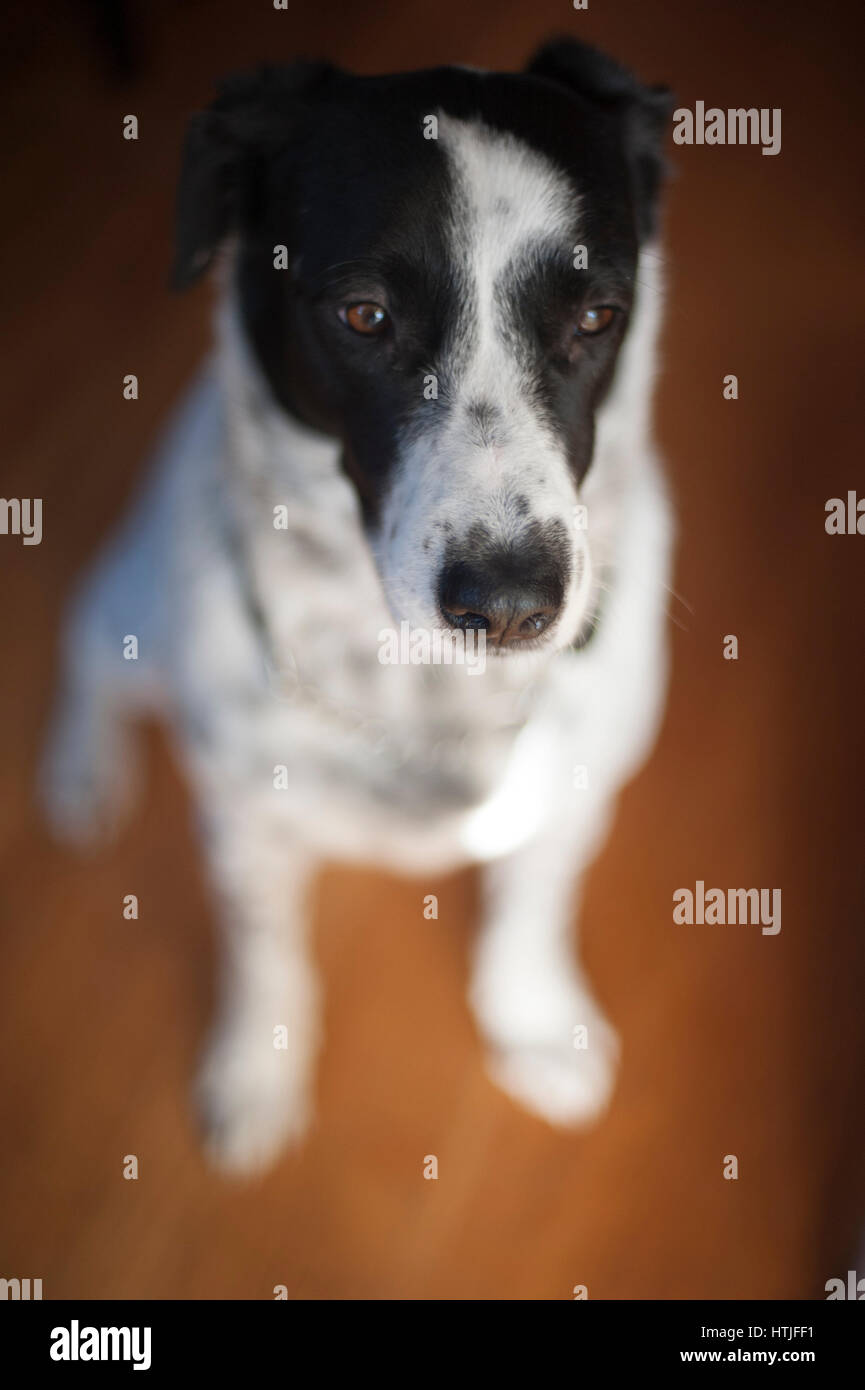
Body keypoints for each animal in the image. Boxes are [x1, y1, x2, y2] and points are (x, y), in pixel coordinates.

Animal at [40, 35, 678, 1173]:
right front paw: (257, 1066)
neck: (419, 698)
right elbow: (263, 954)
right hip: (136, 619)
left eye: (597, 316)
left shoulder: (568, 798)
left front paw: (532, 1017)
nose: (510, 605)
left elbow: (532, 906)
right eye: (364, 315)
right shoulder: (243, 822)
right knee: (84, 641)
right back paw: (79, 767)